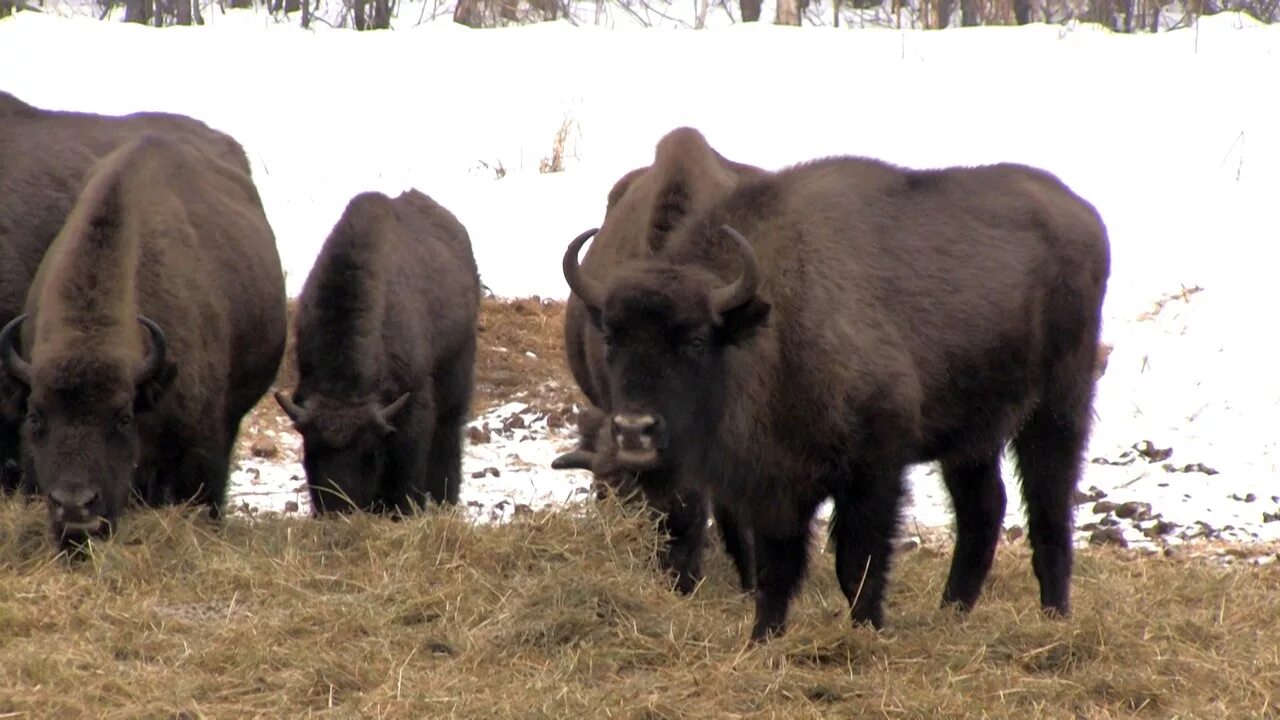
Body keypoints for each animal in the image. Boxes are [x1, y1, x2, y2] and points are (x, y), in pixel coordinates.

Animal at [275, 188, 481, 512]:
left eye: (369, 451)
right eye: (311, 448)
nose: (339, 509)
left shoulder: (414, 404)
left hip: (456, 384)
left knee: (448, 435)